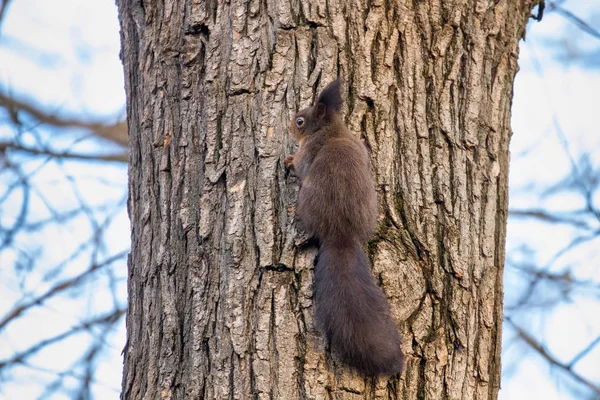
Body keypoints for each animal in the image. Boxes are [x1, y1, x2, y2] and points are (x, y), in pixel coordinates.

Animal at [284, 79, 406, 376]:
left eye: (300, 121)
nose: (289, 125)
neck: (331, 129)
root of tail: (342, 235)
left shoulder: (308, 151)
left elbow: (300, 164)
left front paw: (289, 160)